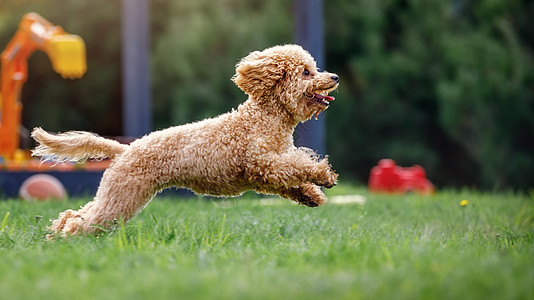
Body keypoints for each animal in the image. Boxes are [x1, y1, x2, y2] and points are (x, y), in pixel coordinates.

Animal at [32, 45, 340, 237]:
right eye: (306, 72)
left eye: (314, 68)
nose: (335, 76)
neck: (265, 117)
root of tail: (125, 149)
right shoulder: (262, 163)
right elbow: (298, 166)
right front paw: (323, 174)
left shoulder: (269, 173)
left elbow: (293, 180)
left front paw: (312, 195)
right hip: (123, 194)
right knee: (88, 220)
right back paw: (68, 237)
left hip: (118, 192)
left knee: (80, 212)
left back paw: (58, 232)